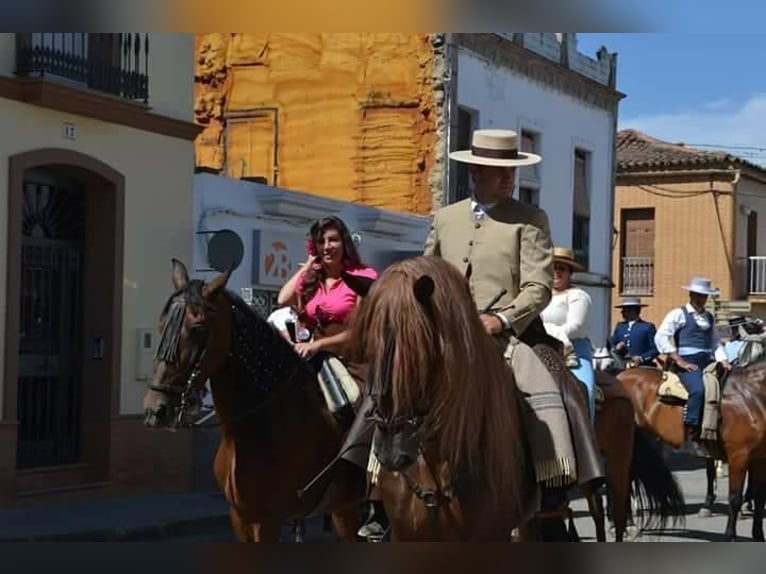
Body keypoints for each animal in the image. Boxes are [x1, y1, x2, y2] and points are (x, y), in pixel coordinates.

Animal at [145, 260, 372, 544]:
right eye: (162, 323)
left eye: (198, 327)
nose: (157, 409)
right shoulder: (241, 518)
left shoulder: (267, 521)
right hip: (344, 507)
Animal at [616, 362, 766, 544]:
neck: (751, 396)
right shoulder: (739, 456)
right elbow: (735, 498)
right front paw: (730, 536)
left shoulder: (759, 459)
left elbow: (759, 498)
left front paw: (759, 535)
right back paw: (628, 527)